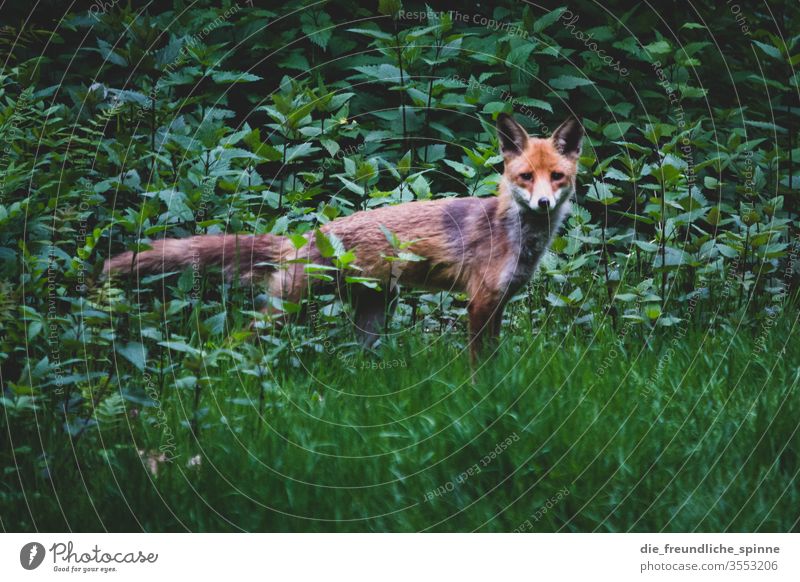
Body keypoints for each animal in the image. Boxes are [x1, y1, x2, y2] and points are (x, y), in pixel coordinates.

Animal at [104, 113, 580, 360]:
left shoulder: (498, 302)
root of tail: (304, 236)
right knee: (237, 340)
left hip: (373, 313)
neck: (519, 237)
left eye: (556, 177)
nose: (543, 204)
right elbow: (480, 366)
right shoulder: (479, 302)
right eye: (525, 177)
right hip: (287, 309)